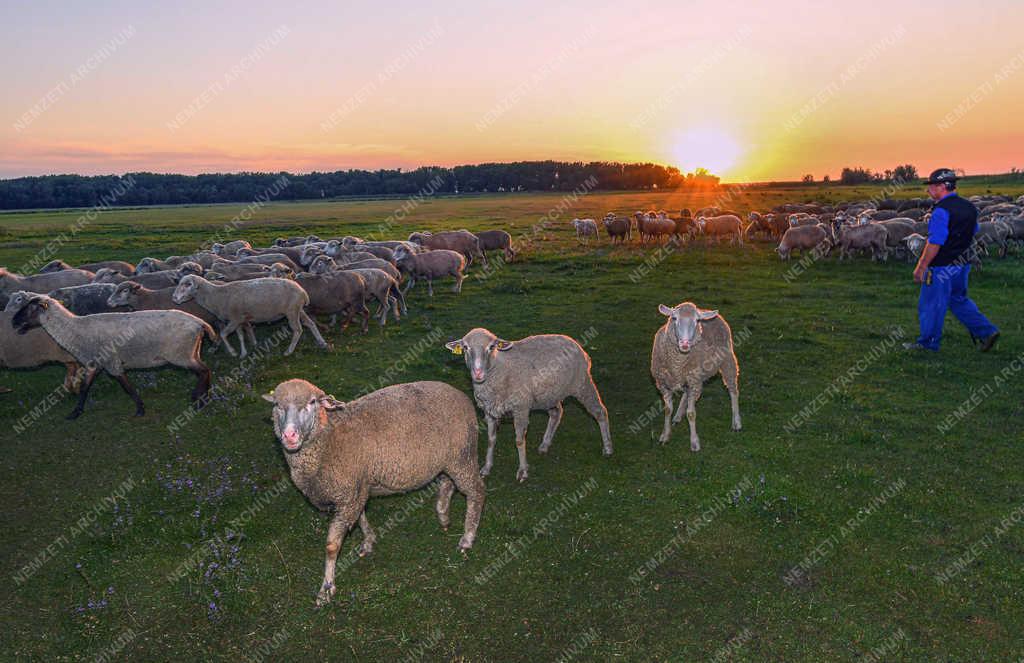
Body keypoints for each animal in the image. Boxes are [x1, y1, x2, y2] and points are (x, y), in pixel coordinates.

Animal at [8, 293, 214, 418]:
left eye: (30, 308)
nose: (13, 322)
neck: (74, 329)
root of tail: (199, 322)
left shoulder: (111, 362)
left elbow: (127, 387)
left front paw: (140, 409)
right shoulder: (94, 363)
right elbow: (85, 388)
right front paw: (76, 412)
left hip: (180, 354)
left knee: (204, 370)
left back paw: (199, 400)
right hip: (191, 351)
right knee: (205, 370)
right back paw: (203, 396)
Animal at [171, 274, 323, 358]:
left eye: (188, 284)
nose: (174, 298)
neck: (217, 295)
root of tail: (302, 291)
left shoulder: (235, 319)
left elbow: (223, 334)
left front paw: (233, 352)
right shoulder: (238, 320)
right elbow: (240, 336)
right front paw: (243, 353)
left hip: (291, 312)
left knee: (298, 329)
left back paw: (289, 351)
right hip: (299, 310)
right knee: (310, 323)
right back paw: (321, 342)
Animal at [264, 379, 487, 606]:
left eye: (312, 402)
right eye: (277, 405)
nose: (289, 435)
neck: (328, 439)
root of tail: (461, 395)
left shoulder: (350, 494)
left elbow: (331, 546)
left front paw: (326, 588)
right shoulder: (357, 488)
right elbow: (361, 517)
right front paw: (368, 541)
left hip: (463, 456)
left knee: (477, 491)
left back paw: (467, 538)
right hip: (450, 460)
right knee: (448, 483)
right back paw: (443, 515)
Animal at [446, 325, 610, 481]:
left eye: (491, 347)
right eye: (465, 347)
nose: (478, 373)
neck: (500, 367)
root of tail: (575, 343)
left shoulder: (521, 408)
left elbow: (519, 441)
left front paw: (523, 471)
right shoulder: (489, 411)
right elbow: (491, 440)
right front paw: (486, 467)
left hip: (582, 384)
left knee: (600, 412)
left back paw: (608, 448)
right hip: (550, 394)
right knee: (556, 413)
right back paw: (545, 445)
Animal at [651, 301, 741, 450]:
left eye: (697, 321)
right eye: (674, 318)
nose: (685, 344)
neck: (677, 364)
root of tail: (706, 310)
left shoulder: (694, 383)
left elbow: (691, 414)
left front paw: (694, 443)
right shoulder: (663, 384)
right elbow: (668, 410)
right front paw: (665, 435)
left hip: (728, 361)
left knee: (733, 391)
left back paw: (737, 422)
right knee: (685, 394)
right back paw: (677, 416)